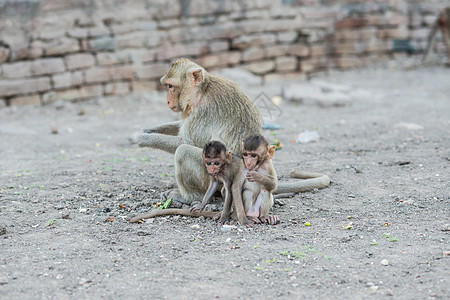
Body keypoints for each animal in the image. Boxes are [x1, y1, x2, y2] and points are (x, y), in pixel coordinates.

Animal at [138, 57, 330, 205]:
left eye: (170, 86)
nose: (168, 101)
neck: (202, 91)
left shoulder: (203, 114)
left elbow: (188, 144)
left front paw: (146, 139)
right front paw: (147, 130)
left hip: (216, 179)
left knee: (182, 152)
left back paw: (190, 197)